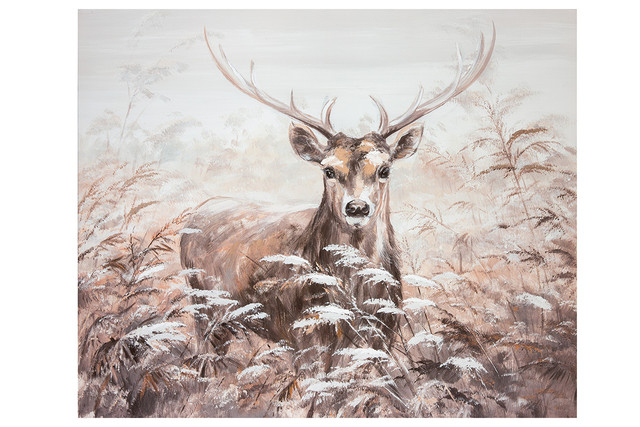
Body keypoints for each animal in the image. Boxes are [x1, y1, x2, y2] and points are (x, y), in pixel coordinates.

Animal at [181, 26, 495, 355]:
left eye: (385, 169)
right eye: (328, 170)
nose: (357, 208)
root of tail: (196, 213)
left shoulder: (384, 334)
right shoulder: (304, 335)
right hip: (203, 307)